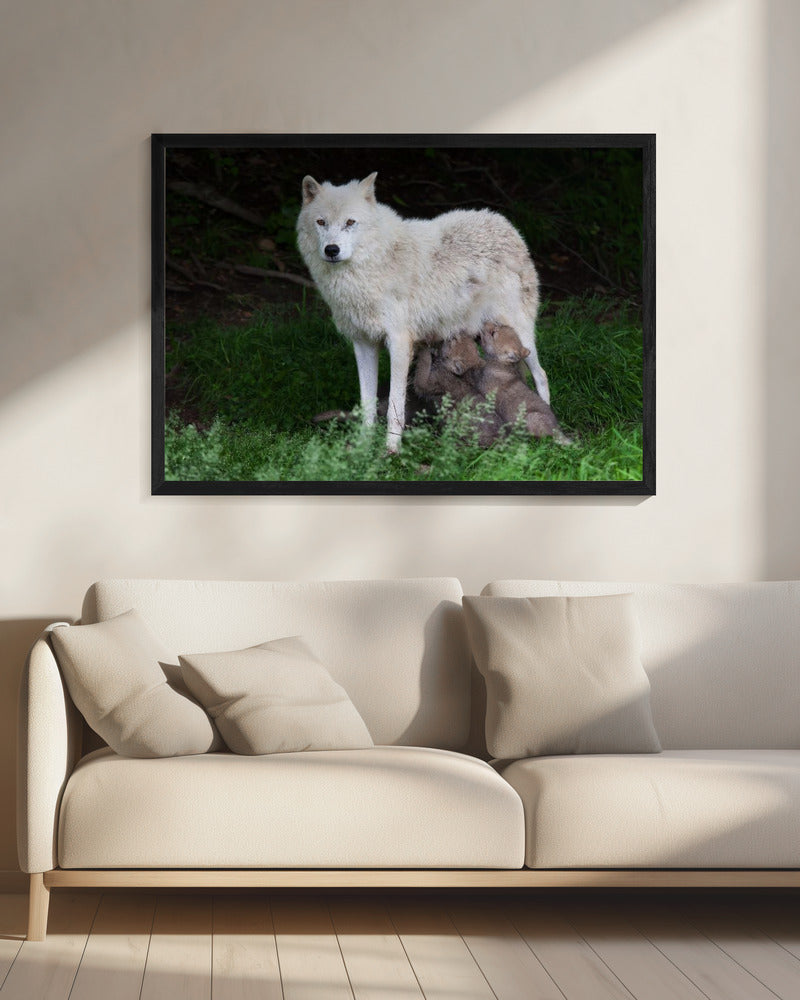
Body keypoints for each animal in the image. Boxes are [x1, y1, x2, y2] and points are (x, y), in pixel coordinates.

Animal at [296, 172, 548, 451]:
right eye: (321, 222)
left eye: (350, 222)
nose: (331, 250)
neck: (373, 265)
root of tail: (505, 224)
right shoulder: (363, 343)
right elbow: (367, 404)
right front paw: (363, 446)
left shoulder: (398, 344)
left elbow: (395, 405)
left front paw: (391, 450)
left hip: (521, 335)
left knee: (541, 375)